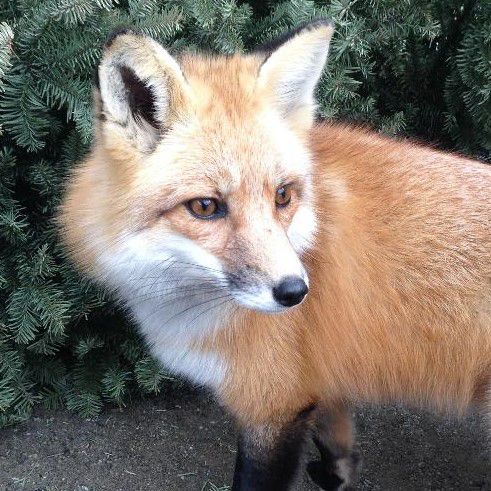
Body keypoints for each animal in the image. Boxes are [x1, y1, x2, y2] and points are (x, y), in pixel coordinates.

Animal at [59, 20, 490, 491]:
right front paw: (337, 475)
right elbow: (336, 439)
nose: (295, 292)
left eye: (282, 196)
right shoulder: (316, 381)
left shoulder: (272, 406)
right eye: (205, 206)